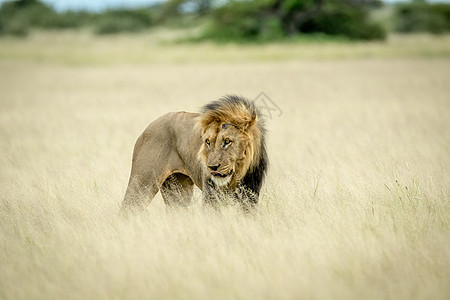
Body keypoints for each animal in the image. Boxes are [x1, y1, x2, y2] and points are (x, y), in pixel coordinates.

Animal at [120, 95, 268, 212]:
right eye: (208, 142)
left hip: (177, 191)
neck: (237, 172)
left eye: (227, 141)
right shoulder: (211, 196)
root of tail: (148, 127)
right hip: (142, 182)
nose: (212, 167)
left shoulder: (250, 197)